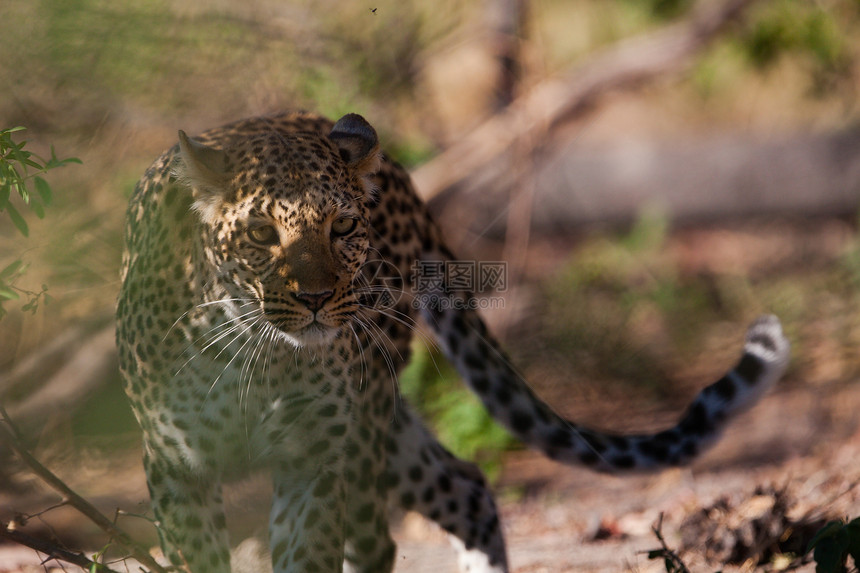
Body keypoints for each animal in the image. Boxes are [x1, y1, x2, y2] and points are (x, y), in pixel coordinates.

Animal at [117, 110, 788, 572]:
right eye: (260, 234)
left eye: (343, 226)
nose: (315, 298)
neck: (259, 360)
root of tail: (397, 172)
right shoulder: (177, 465)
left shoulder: (313, 463)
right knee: (464, 487)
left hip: (366, 427)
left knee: (386, 535)